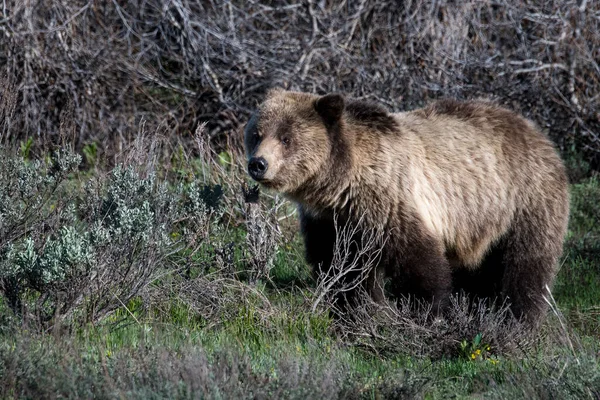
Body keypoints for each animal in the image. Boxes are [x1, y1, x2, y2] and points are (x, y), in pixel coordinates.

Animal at [243, 89, 568, 326]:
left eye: (286, 138)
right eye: (256, 134)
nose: (258, 163)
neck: (340, 185)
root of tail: (537, 132)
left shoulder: (390, 202)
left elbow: (418, 264)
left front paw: (425, 312)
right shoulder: (329, 221)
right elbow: (340, 267)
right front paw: (355, 309)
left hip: (524, 200)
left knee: (523, 265)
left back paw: (517, 319)